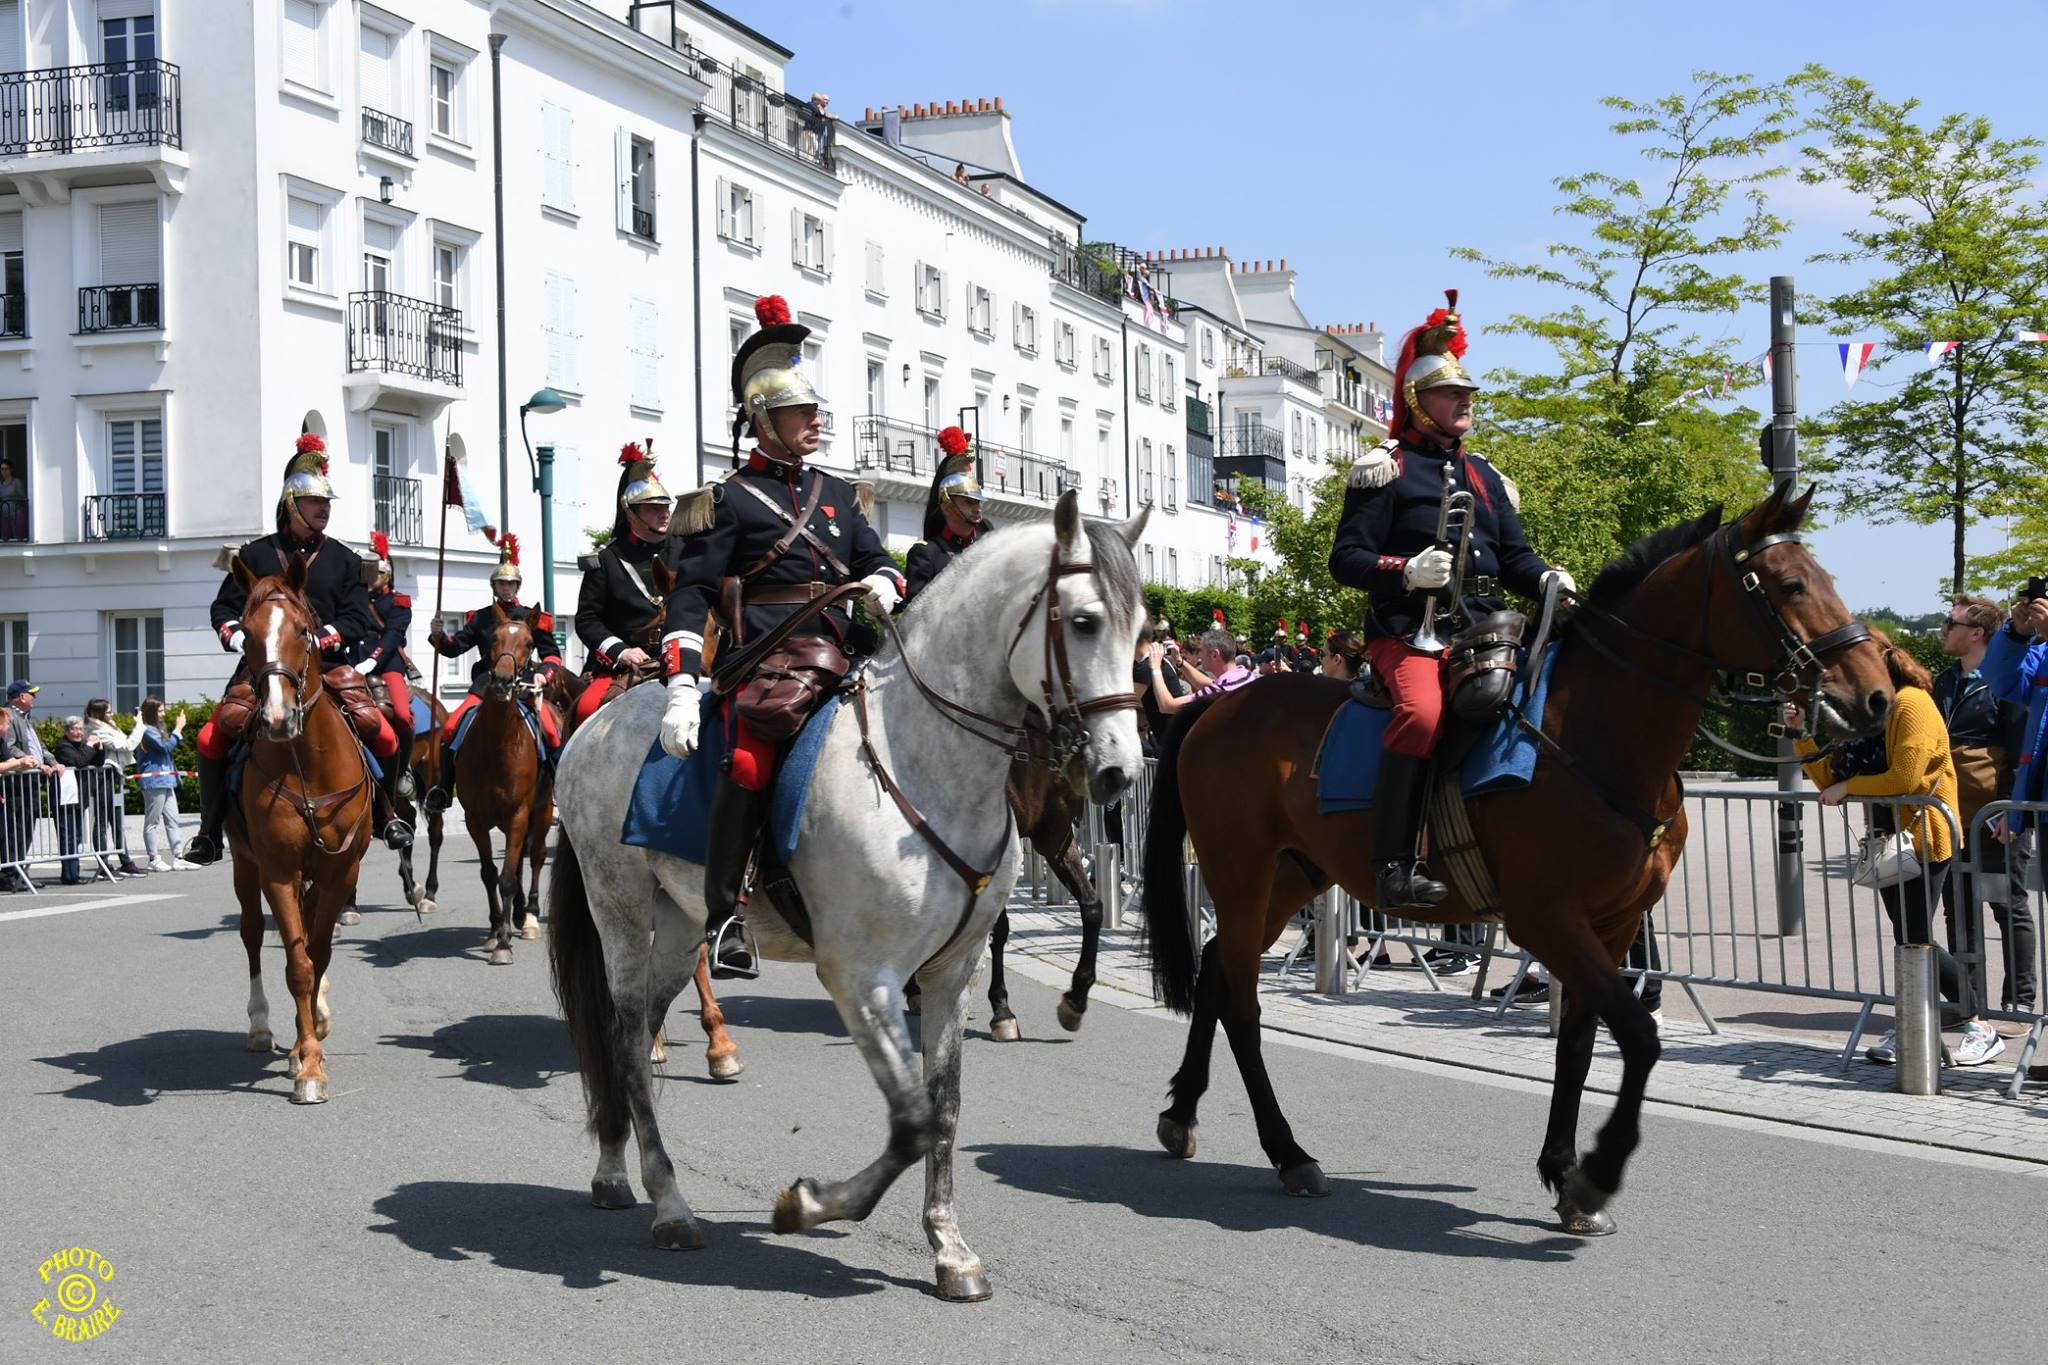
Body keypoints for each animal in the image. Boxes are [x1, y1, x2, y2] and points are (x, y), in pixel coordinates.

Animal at [230, 556, 378, 1096]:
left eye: (302, 629)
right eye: (246, 632)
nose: (277, 717)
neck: (305, 763)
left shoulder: (341, 870)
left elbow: (319, 952)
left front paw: (309, 1043)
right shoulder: (277, 869)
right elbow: (299, 965)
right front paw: (309, 1063)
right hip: (244, 865)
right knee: (252, 934)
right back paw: (262, 1027)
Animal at [454, 601, 557, 965]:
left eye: (529, 642)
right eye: (493, 639)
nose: (500, 680)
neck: (497, 744)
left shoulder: (517, 814)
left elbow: (508, 877)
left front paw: (503, 943)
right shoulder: (475, 818)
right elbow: (489, 874)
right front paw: (495, 929)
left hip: (542, 811)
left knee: (536, 856)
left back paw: (530, 917)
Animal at [552, 493, 1146, 1301]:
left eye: (1142, 631)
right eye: (1083, 621)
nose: (1121, 771)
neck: (921, 760)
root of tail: (594, 722)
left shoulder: (950, 973)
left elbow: (944, 1109)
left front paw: (949, 1246)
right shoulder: (862, 978)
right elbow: (912, 1120)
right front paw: (807, 1205)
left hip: (678, 926)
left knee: (637, 1032)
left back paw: (620, 1169)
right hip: (619, 909)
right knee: (620, 1037)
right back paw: (669, 1203)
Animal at [1138, 485, 1884, 1236]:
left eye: (1822, 578)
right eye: (1791, 584)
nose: (1874, 693)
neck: (1595, 735)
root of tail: (1218, 707)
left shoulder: (1612, 924)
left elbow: (1580, 1043)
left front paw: (1563, 1171)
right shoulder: (1548, 919)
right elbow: (1638, 1035)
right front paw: (1596, 1171)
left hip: (1290, 877)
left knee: (1215, 972)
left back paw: (1181, 1113)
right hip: (1242, 874)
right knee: (1241, 1003)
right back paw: (1287, 1151)